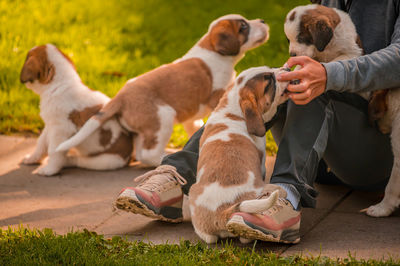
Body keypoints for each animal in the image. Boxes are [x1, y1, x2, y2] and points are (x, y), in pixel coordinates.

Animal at [19, 44, 133, 177]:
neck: (59, 85)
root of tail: (129, 156)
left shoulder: (60, 130)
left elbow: (54, 151)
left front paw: (50, 170)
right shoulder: (50, 125)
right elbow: (41, 144)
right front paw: (32, 159)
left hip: (104, 161)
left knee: (80, 161)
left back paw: (66, 161)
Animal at [56, 14, 268, 166]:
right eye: (243, 27)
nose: (263, 21)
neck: (212, 49)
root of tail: (120, 97)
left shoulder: (192, 116)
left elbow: (195, 125)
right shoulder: (217, 96)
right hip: (162, 117)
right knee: (148, 154)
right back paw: (162, 158)